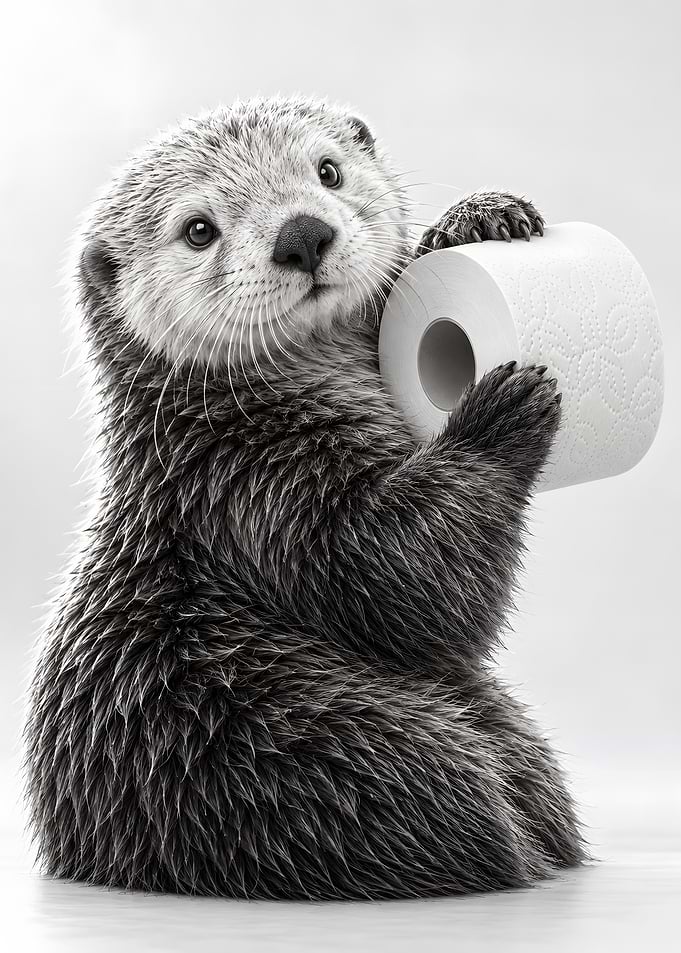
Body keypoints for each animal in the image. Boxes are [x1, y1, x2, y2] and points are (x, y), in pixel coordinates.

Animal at [24, 96, 584, 899]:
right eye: (199, 229)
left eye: (327, 171)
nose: (302, 234)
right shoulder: (249, 492)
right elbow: (408, 582)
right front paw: (498, 414)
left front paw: (479, 218)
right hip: (319, 750)